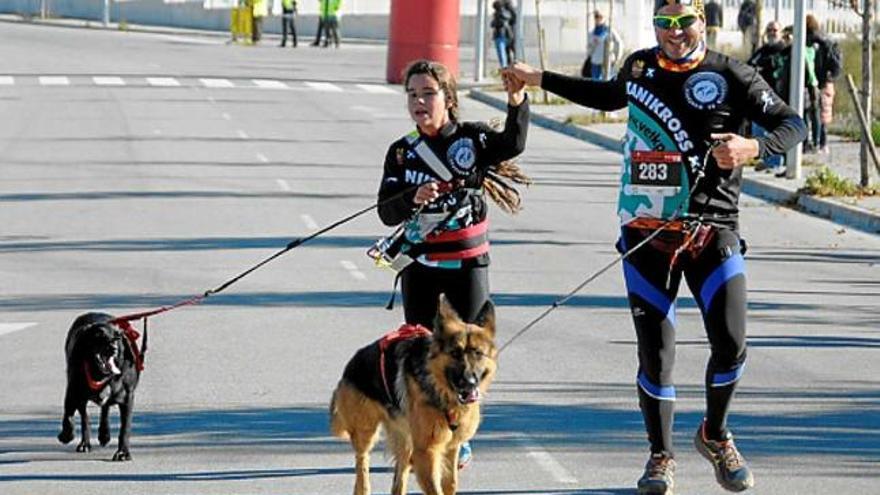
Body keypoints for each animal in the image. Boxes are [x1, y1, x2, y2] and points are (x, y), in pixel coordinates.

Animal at [58, 314, 143, 462]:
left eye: (118, 337)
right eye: (99, 335)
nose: (114, 348)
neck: (100, 375)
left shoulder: (127, 398)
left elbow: (125, 428)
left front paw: (123, 452)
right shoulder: (73, 391)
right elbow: (68, 415)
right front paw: (66, 435)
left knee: (105, 409)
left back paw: (104, 434)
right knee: (85, 417)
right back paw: (85, 443)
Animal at [330, 296, 498, 495]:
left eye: (478, 354)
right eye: (455, 353)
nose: (469, 382)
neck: (438, 387)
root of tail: (349, 366)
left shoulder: (450, 448)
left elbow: (450, 483)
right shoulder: (427, 452)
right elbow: (436, 489)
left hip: (405, 441)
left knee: (398, 478)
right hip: (366, 433)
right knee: (361, 464)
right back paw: (363, 486)